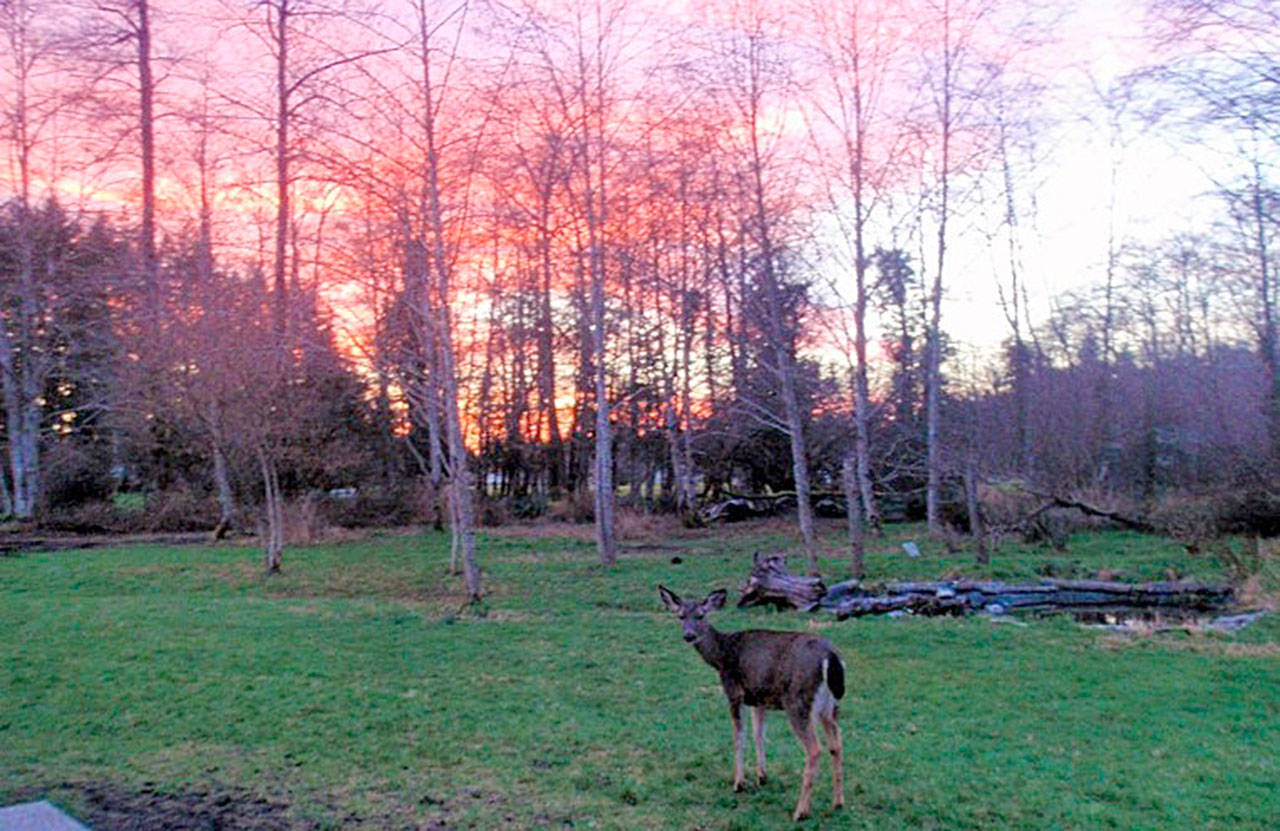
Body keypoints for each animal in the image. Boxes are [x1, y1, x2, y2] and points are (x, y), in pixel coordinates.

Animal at [655, 583, 844, 814]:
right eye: (681, 616)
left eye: (701, 615)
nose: (689, 635)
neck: (721, 656)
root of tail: (830, 657)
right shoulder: (758, 698)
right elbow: (758, 735)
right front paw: (762, 776)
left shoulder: (734, 691)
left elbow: (739, 737)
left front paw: (739, 783)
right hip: (831, 706)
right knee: (837, 744)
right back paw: (838, 802)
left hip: (798, 701)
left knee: (815, 749)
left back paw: (801, 811)